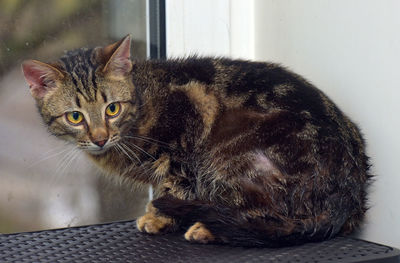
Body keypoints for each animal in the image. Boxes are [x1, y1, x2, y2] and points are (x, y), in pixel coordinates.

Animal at [21, 34, 372, 248]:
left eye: (112, 109)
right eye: (75, 117)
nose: (99, 138)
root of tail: (347, 192)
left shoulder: (185, 137)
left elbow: (172, 185)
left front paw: (158, 217)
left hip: (230, 160)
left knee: (268, 222)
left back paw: (207, 227)